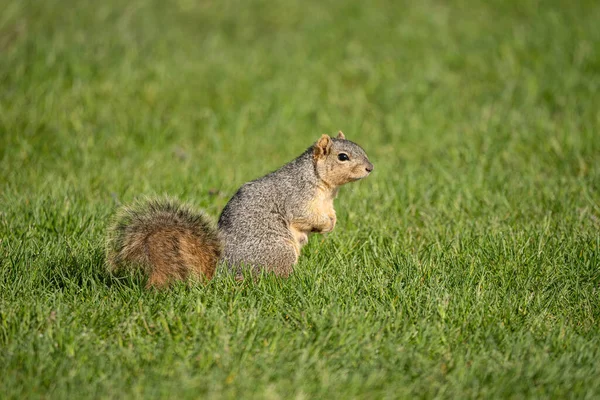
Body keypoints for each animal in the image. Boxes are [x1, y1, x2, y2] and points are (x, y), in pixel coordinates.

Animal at [105, 132, 372, 288]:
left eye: (361, 147)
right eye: (343, 157)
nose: (370, 168)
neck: (324, 186)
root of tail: (221, 272)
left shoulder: (327, 202)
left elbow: (330, 213)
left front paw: (332, 222)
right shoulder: (296, 197)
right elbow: (305, 216)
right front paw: (325, 225)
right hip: (278, 250)